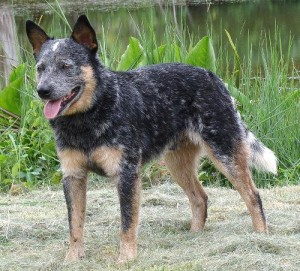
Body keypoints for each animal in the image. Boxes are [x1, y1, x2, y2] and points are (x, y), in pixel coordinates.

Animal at [25, 15, 276, 266]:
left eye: (66, 66)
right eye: (40, 68)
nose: (42, 90)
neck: (87, 121)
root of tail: (212, 75)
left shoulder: (126, 174)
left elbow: (127, 223)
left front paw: (126, 259)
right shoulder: (73, 176)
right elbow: (75, 226)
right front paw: (72, 259)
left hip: (225, 155)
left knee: (253, 196)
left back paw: (260, 238)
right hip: (178, 165)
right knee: (200, 198)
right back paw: (194, 236)